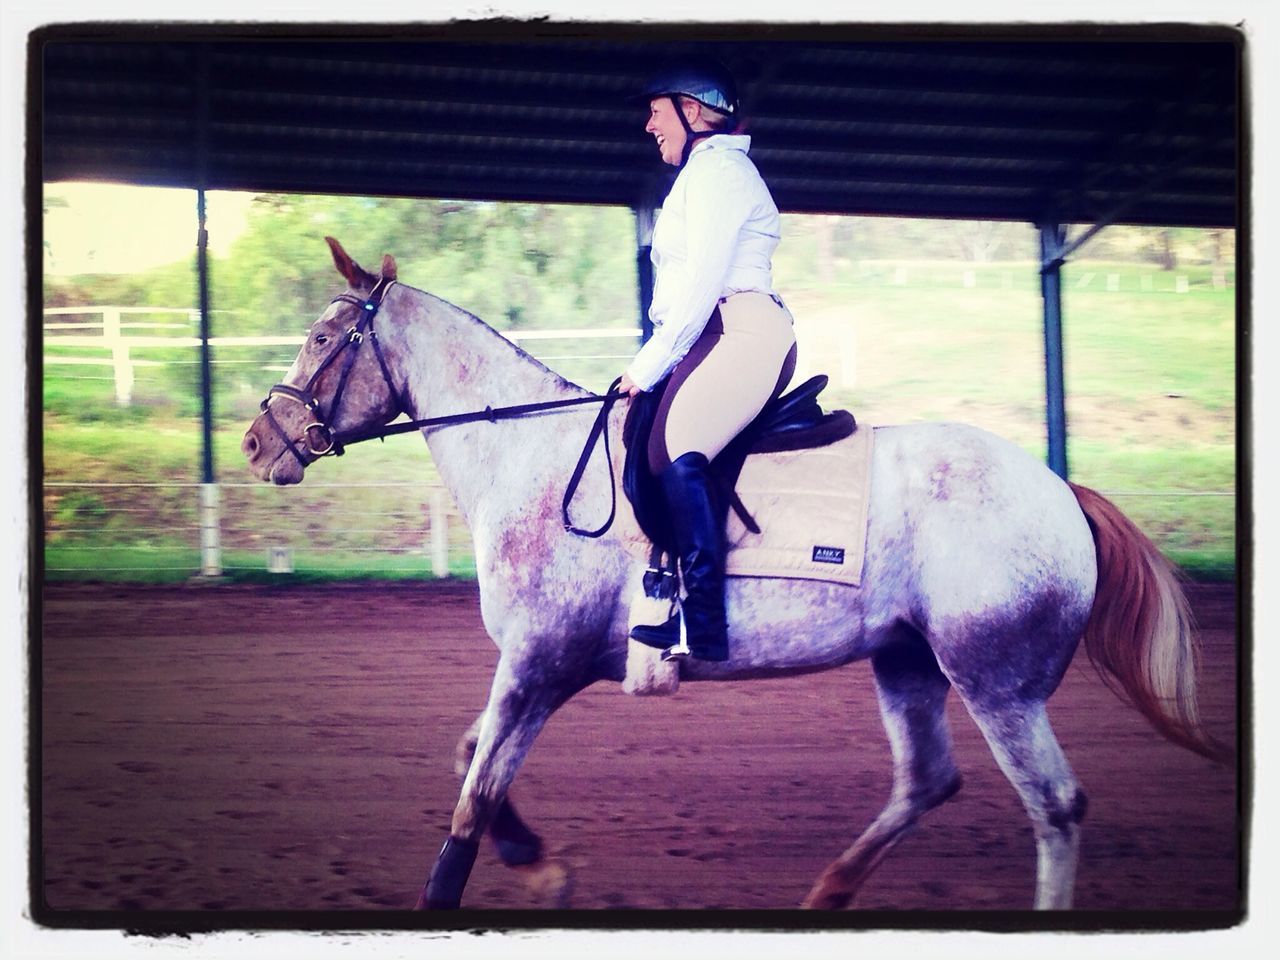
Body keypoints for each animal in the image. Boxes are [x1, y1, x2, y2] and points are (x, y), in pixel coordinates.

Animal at [241, 241, 1228, 916]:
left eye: (324, 337)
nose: (257, 442)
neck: (529, 452)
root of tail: (1061, 492)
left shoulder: (535, 664)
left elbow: (469, 803)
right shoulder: (543, 669)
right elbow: (469, 768)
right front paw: (543, 867)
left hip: (999, 682)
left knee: (1055, 808)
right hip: (908, 661)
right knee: (927, 781)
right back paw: (827, 895)